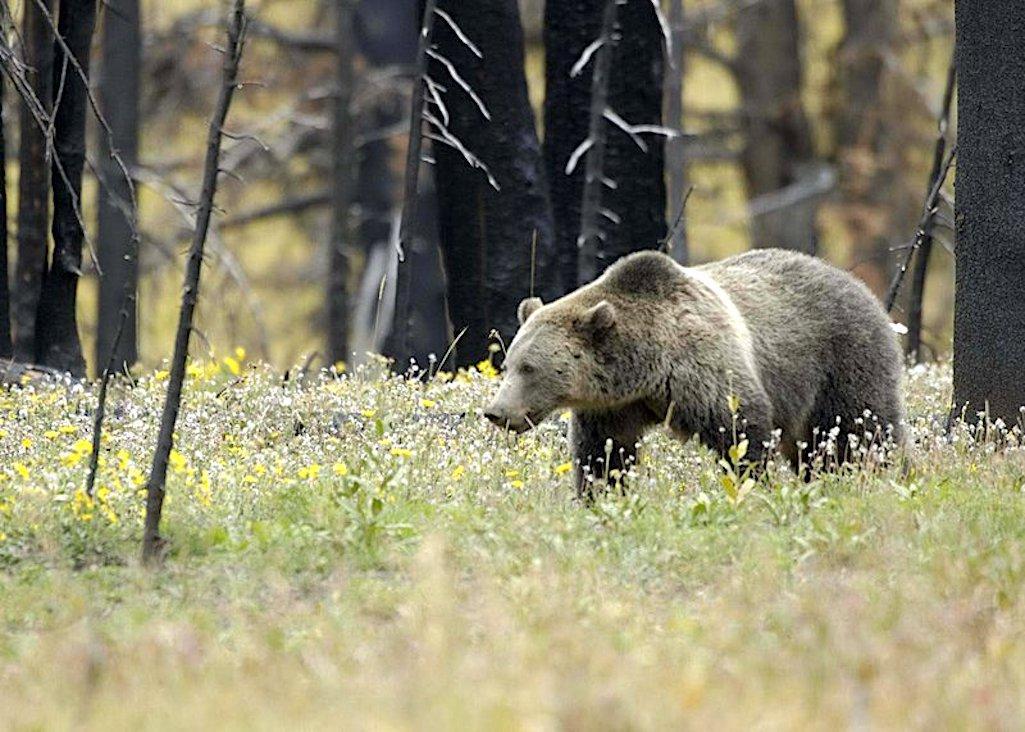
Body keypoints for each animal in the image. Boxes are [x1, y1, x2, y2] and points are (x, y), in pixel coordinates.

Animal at [484, 248, 905, 492]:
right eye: (507, 364)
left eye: (529, 368)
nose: (496, 412)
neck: (645, 367)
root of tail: (857, 283)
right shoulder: (613, 407)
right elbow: (604, 453)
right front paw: (601, 495)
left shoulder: (703, 368)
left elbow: (740, 431)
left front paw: (753, 487)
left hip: (842, 359)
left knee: (859, 430)